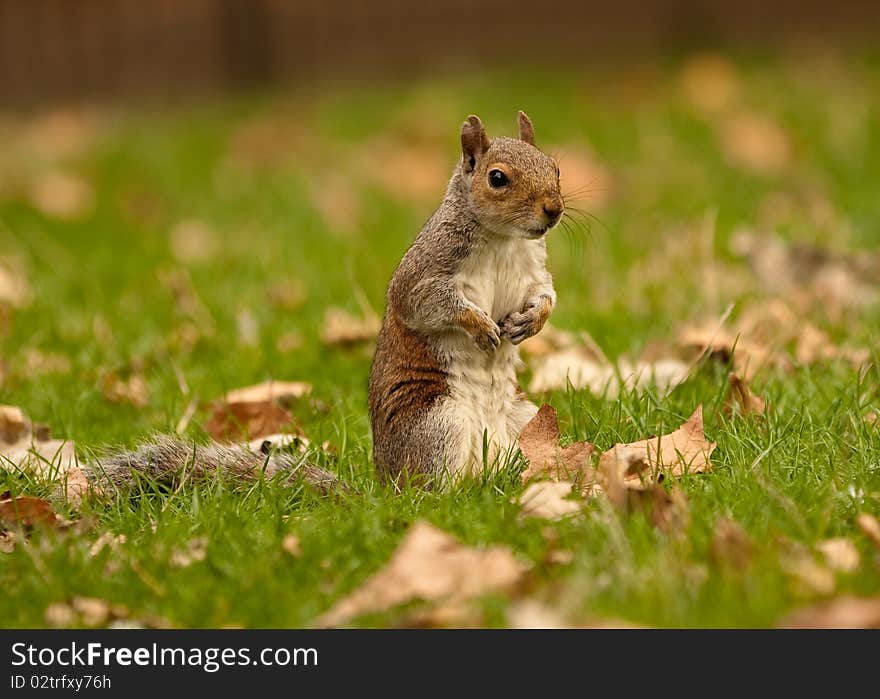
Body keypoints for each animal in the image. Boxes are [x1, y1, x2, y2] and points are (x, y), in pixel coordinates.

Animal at [366, 112, 560, 486]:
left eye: (555, 168)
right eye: (497, 178)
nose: (554, 209)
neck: (503, 239)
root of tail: (384, 480)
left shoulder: (533, 271)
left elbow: (545, 294)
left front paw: (530, 322)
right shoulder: (425, 272)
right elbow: (425, 303)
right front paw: (480, 326)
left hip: (524, 416)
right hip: (440, 422)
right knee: (431, 486)